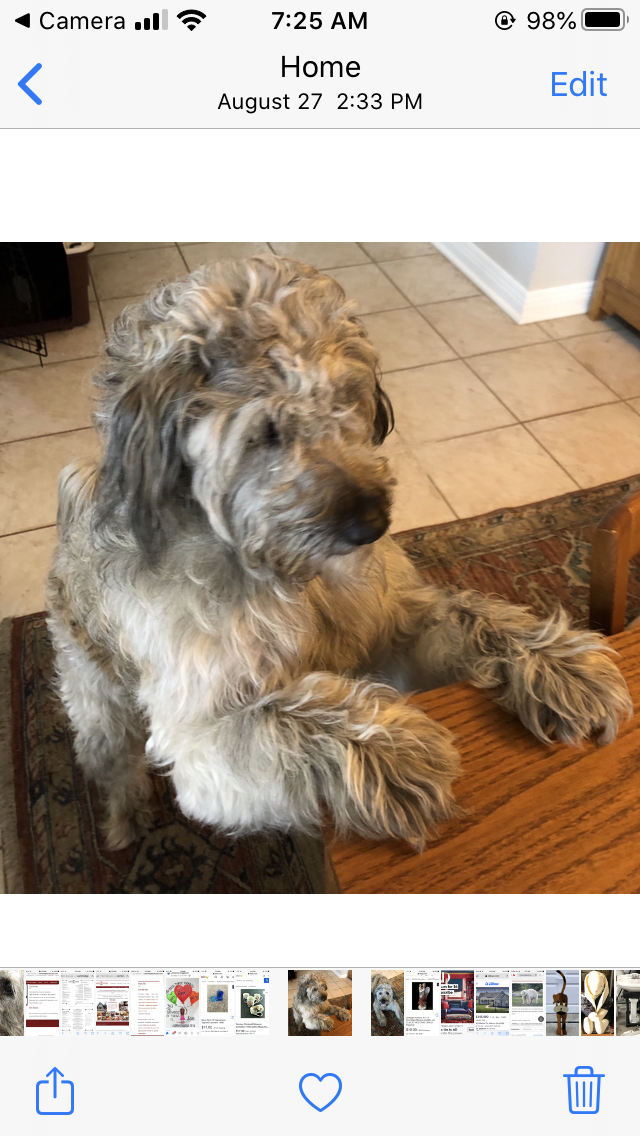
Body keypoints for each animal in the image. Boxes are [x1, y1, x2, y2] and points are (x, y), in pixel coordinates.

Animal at [46, 255, 632, 854]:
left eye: (346, 395)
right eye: (267, 431)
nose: (372, 525)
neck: (289, 575)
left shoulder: (395, 628)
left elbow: (470, 615)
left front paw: (557, 663)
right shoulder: (200, 730)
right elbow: (286, 720)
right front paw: (389, 751)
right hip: (99, 705)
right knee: (116, 768)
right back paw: (126, 826)